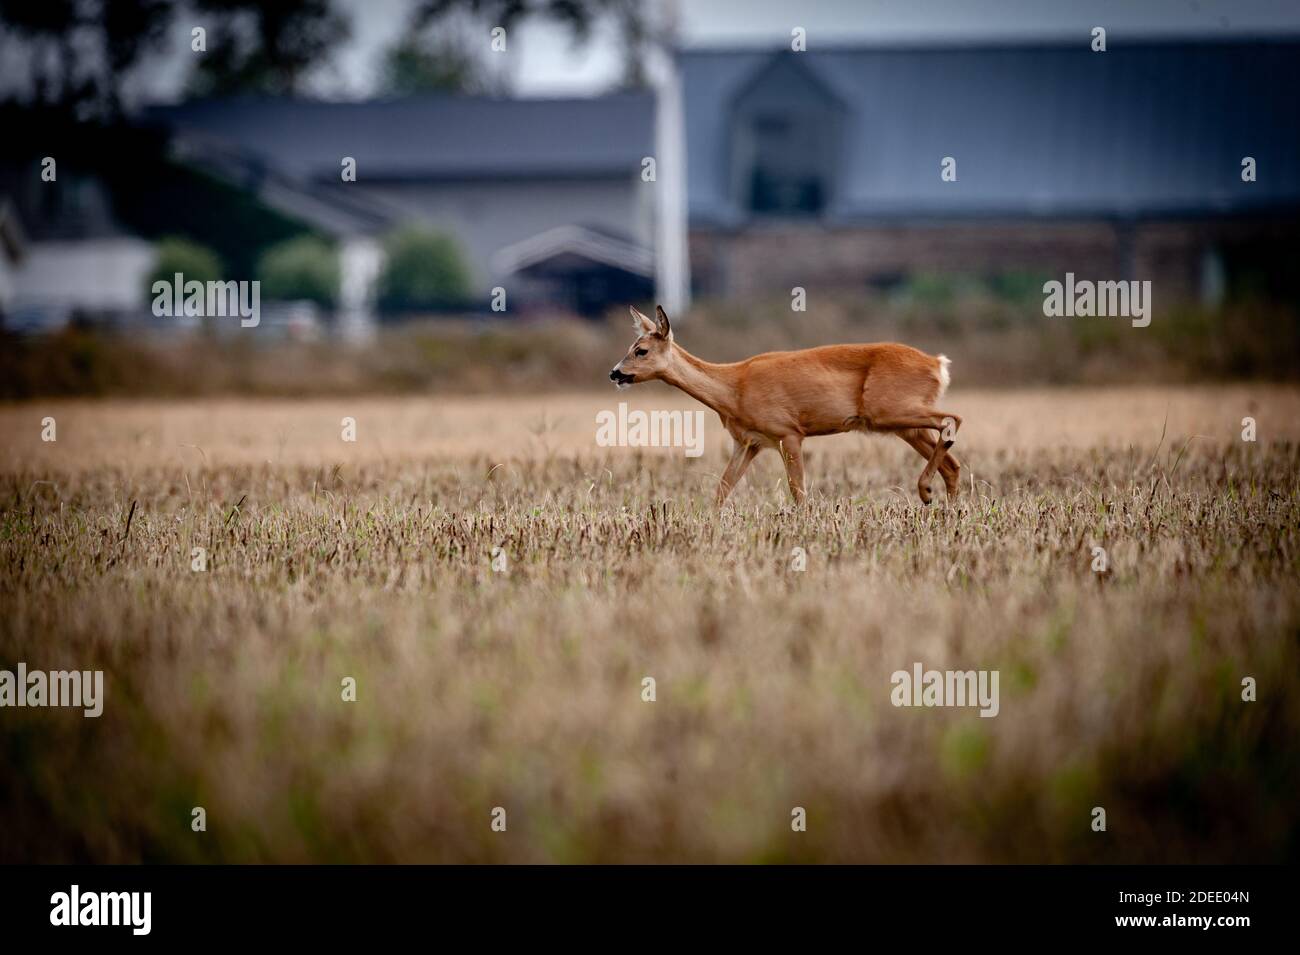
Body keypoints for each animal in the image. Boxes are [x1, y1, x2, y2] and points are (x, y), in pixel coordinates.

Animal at [603, 306, 961, 509]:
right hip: (901, 423)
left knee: (952, 419)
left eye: (641, 350)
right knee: (953, 463)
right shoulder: (749, 442)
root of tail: (937, 365)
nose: (614, 372)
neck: (733, 388)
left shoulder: (788, 432)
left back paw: (926, 491)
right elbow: (721, 490)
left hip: (891, 409)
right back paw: (945, 509)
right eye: (632, 346)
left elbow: (798, 492)